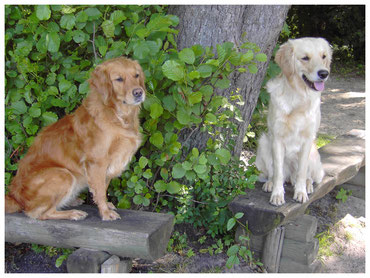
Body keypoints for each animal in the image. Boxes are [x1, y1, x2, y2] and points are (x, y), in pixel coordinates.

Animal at [5, 57, 146, 220]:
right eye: (119, 79)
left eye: (136, 75)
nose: (139, 92)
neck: (117, 115)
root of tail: (14, 196)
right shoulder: (97, 161)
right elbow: (100, 190)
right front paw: (105, 212)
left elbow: (103, 188)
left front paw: (105, 205)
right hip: (63, 174)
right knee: (38, 213)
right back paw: (72, 213)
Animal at [256, 37, 330, 206]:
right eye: (305, 58)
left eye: (323, 56)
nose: (324, 73)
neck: (298, 97)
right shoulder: (276, 138)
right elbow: (277, 172)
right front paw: (277, 195)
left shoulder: (307, 139)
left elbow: (302, 171)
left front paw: (301, 192)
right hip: (264, 143)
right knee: (275, 174)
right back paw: (270, 183)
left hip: (314, 154)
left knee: (307, 176)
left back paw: (307, 185)